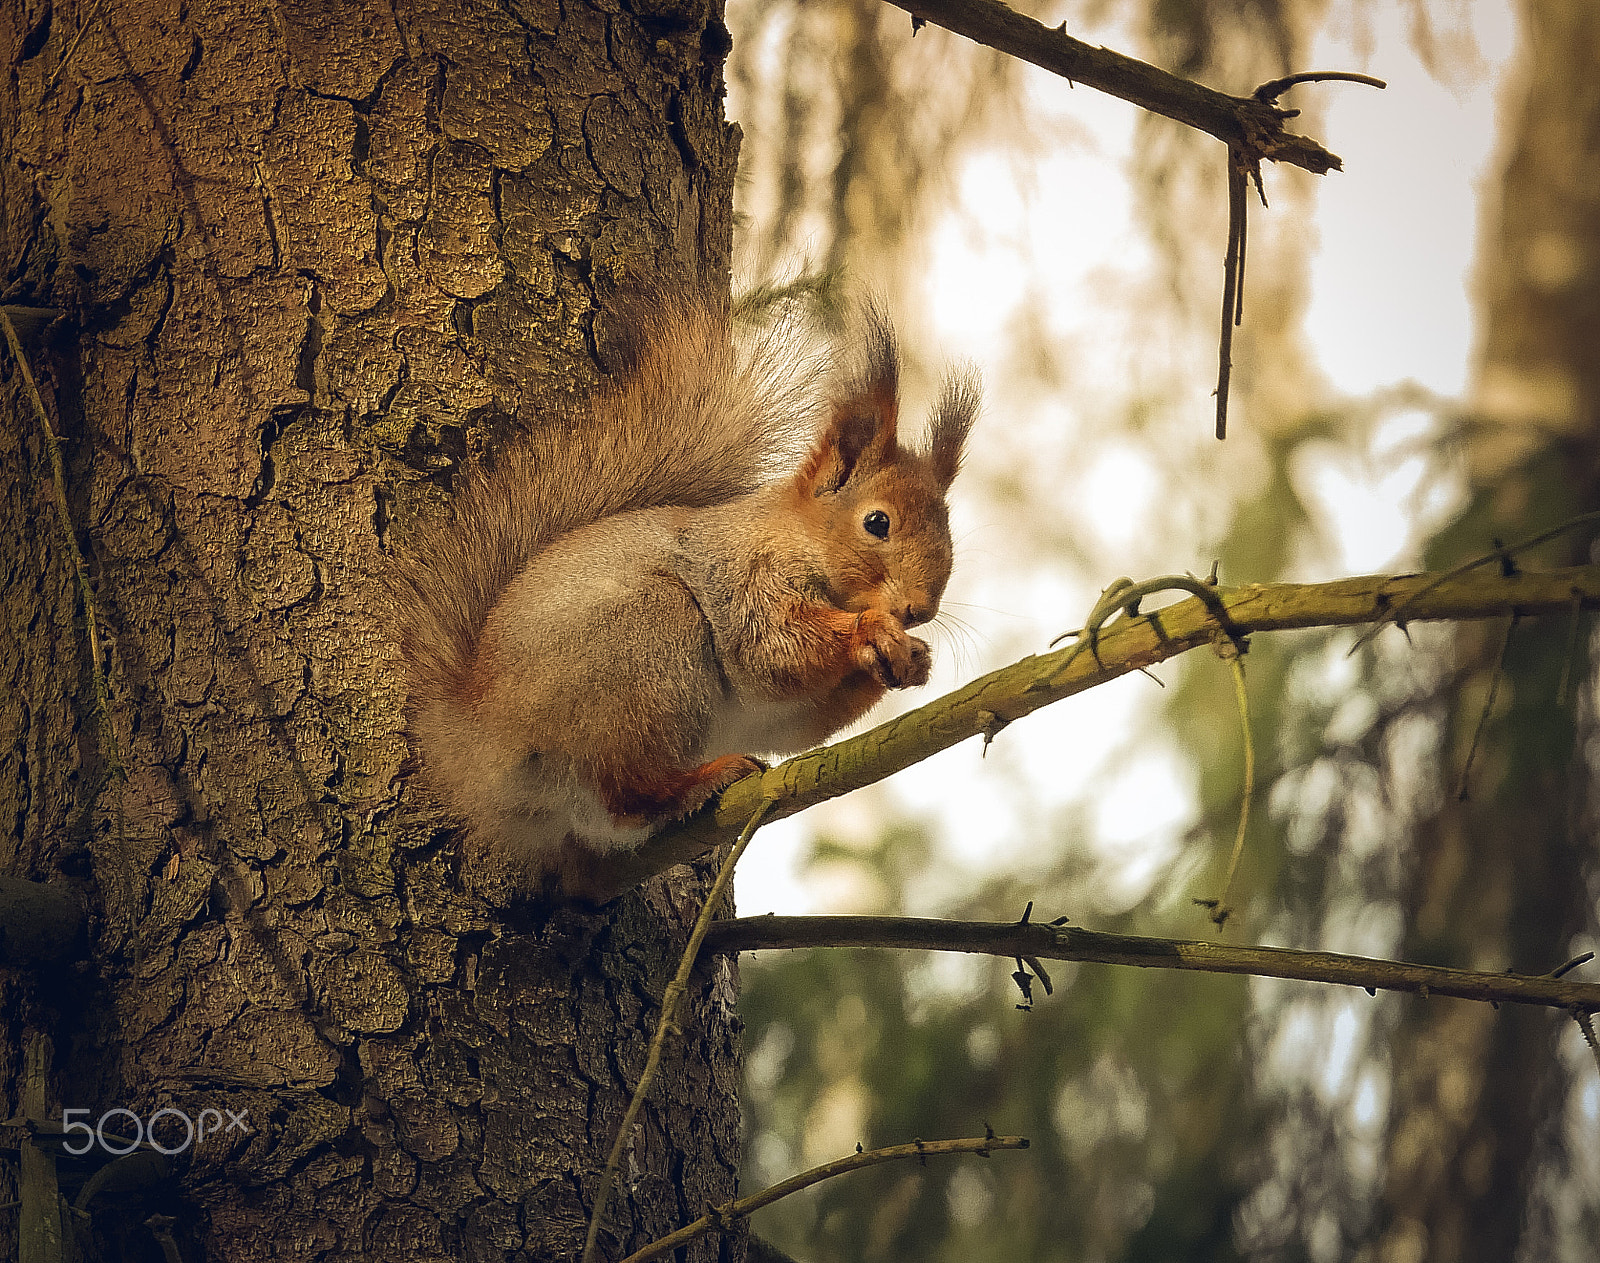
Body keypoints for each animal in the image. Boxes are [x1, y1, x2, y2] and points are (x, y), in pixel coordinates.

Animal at [393, 292, 979, 896]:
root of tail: (478, 747)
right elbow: (776, 652)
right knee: (626, 794)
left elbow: (799, 722)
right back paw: (700, 782)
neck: (794, 540)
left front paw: (912, 660)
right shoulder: (742, 579)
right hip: (649, 648)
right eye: (877, 522)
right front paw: (871, 632)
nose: (918, 611)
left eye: (948, 528)